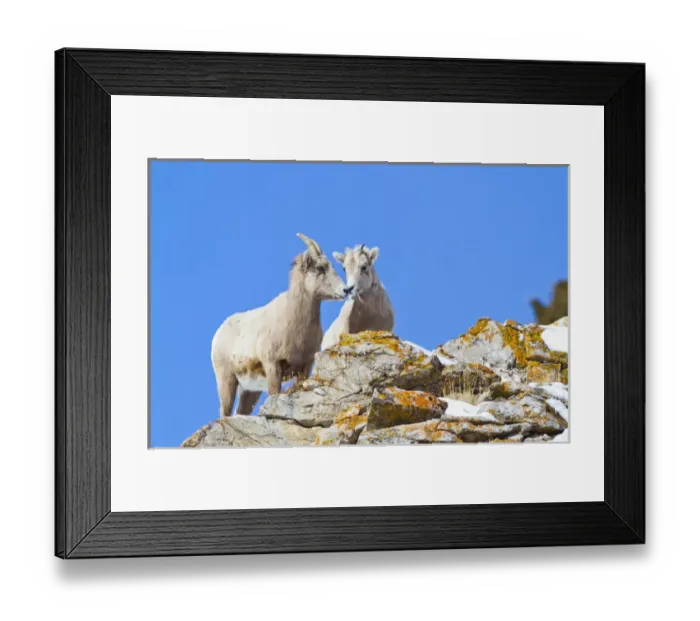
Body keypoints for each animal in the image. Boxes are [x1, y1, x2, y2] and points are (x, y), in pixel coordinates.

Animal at [211, 233, 347, 417]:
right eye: (320, 268)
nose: (345, 290)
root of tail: (220, 332)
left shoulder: (305, 367)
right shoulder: (273, 366)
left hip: (250, 390)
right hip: (227, 380)